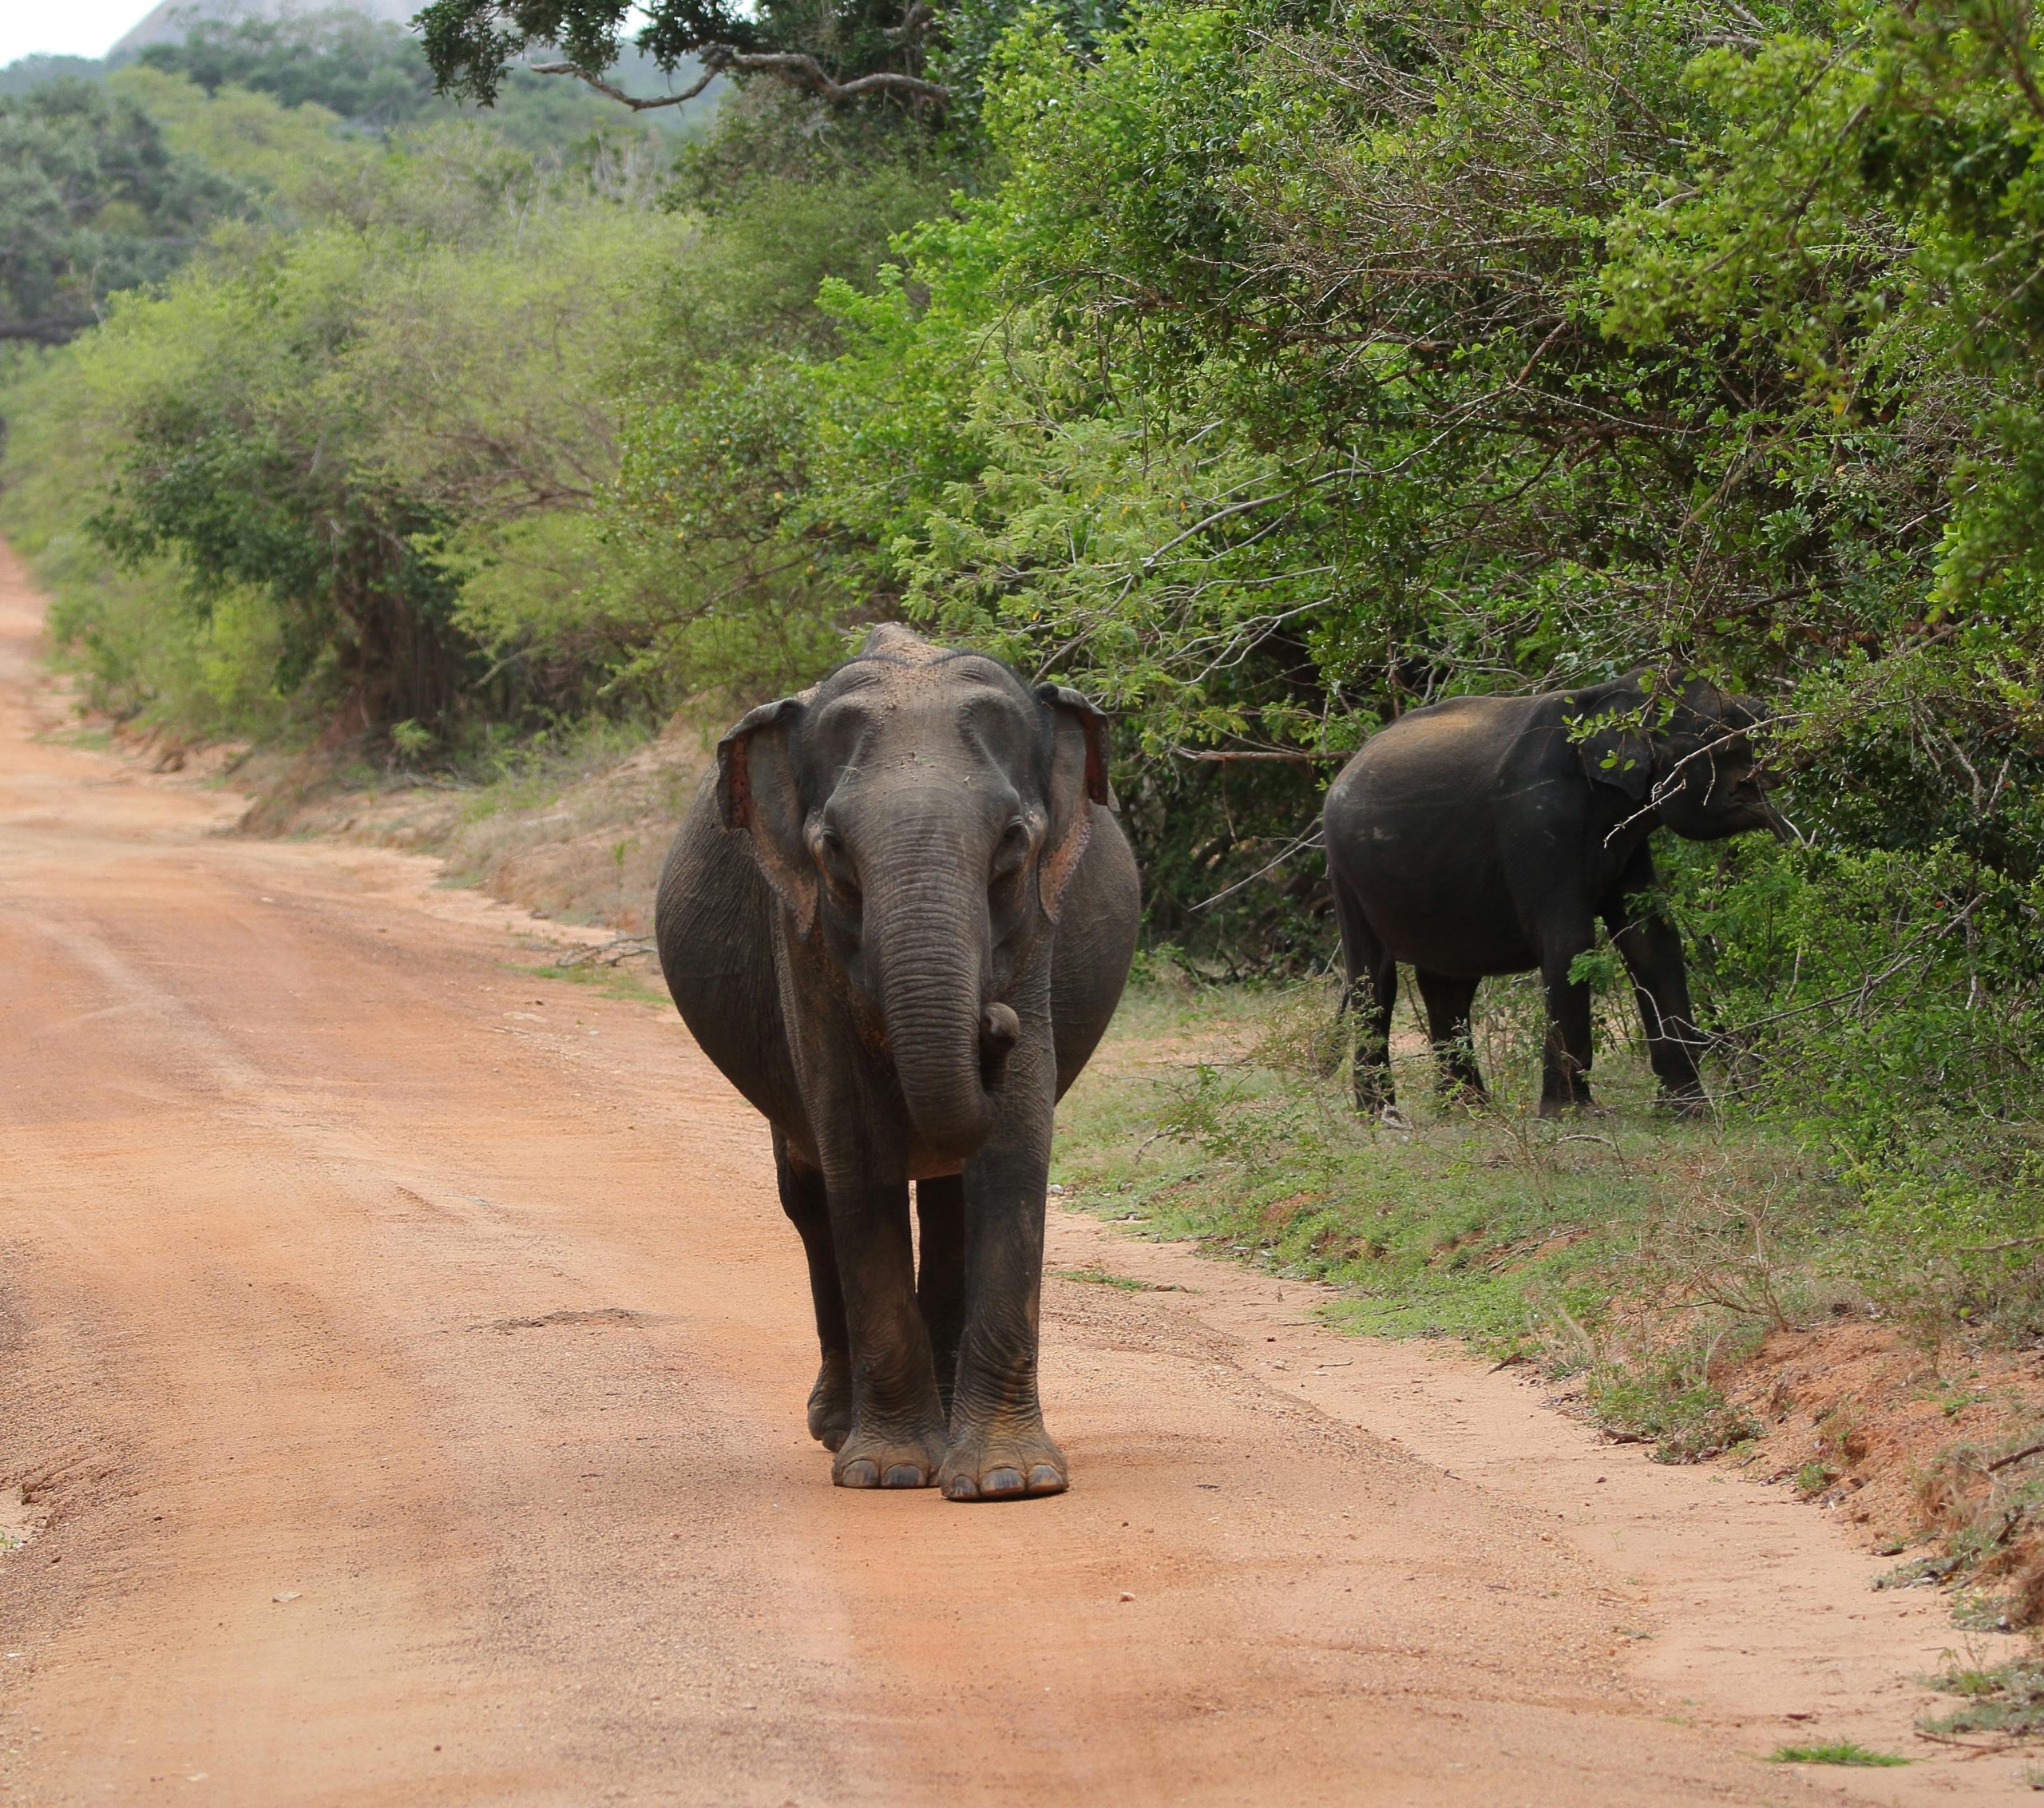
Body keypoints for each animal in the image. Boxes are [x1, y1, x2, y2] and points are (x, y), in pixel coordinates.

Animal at [655, 624, 1140, 1500]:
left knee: (948, 1200)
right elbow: (856, 1153)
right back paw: (840, 1429)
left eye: (1014, 844)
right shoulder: (801, 937)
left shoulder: (1036, 934)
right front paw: (888, 1472)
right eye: (833, 852)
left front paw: (1011, 1481)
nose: (992, 1021)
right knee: (809, 1195)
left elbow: (1015, 1148)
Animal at [1322, 672, 1787, 1118]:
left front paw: (1689, 1111)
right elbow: (1570, 940)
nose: (1787, 833)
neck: (1610, 696)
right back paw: (1382, 1116)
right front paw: (1572, 1116)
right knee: (1373, 979)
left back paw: (1470, 1111)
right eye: (1721, 728)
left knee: (1448, 983)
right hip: (1346, 871)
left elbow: (1651, 939)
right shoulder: (1536, 817)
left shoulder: (1628, 837)